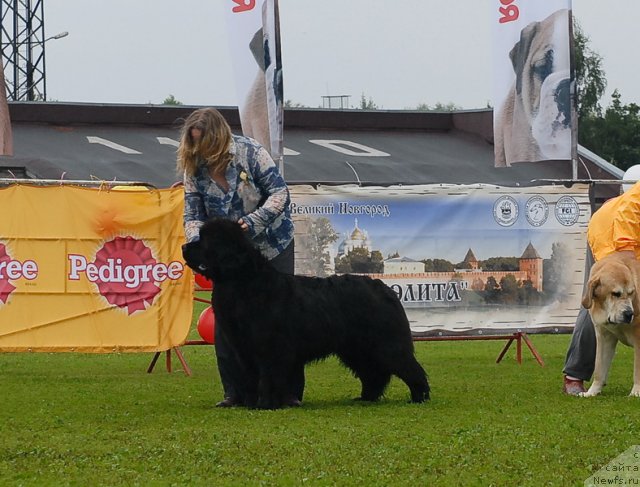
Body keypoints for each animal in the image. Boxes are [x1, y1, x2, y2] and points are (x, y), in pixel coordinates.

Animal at [181, 219, 430, 410]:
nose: (183, 247)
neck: (244, 282)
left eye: (205, 241)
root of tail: (383, 287)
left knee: (409, 368)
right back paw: (365, 398)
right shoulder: (244, 349)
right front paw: (251, 403)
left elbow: (268, 376)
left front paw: (265, 404)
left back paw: (419, 397)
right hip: (357, 349)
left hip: (385, 344)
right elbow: (250, 377)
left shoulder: (270, 348)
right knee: (373, 373)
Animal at [584, 254, 636, 398]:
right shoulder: (604, 336)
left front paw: (636, 392)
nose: (629, 313)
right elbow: (599, 368)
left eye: (631, 293)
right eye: (615, 294)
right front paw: (592, 391)